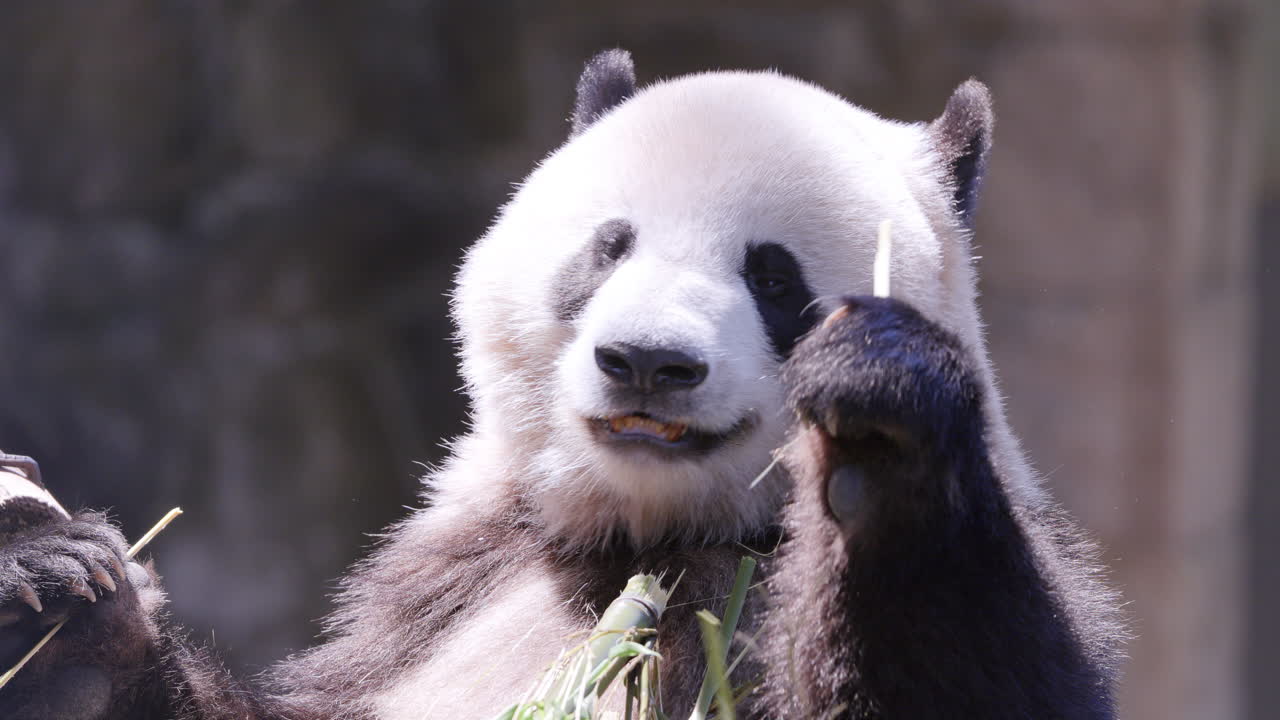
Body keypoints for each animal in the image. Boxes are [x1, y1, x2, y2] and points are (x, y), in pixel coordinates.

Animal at [0, 50, 1123, 719]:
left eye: (773, 277)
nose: (647, 362)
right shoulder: (444, 587)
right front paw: (62, 597)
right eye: (609, 246)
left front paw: (879, 444)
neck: (647, 535)